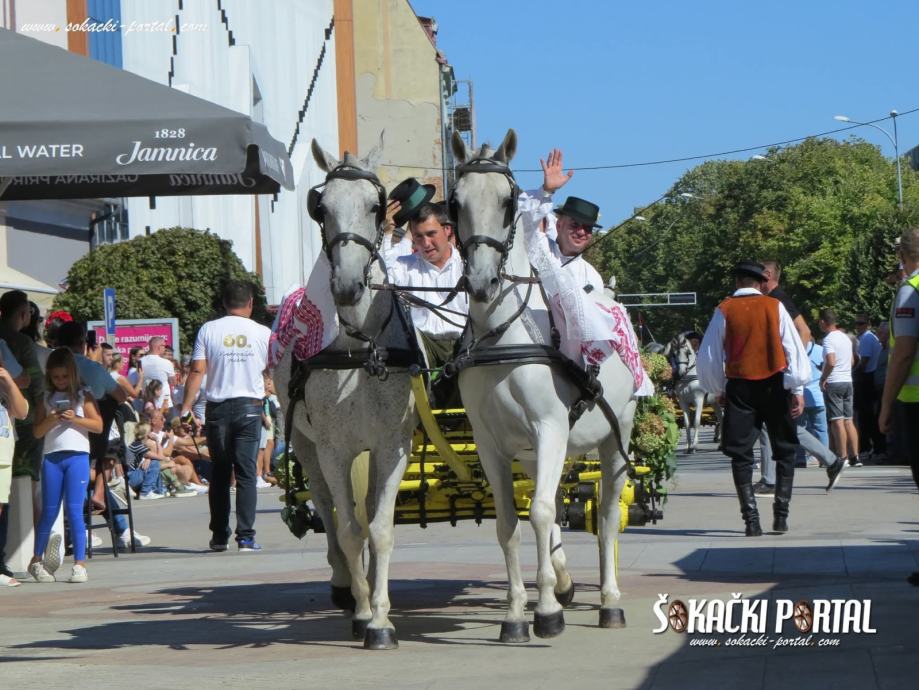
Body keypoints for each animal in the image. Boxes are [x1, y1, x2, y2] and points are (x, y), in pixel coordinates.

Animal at [273, 137, 418, 650]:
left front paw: (381, 614)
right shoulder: (334, 449)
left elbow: (379, 528)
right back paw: (344, 584)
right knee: (327, 508)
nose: (348, 286)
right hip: (305, 444)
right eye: (321, 208)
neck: (359, 348)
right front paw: (364, 612)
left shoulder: (392, 446)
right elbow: (350, 529)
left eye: (376, 206)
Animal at [449, 129, 637, 642]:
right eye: (455, 202)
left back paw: (609, 601)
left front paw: (548, 610)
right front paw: (517, 613)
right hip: (536, 454)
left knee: (606, 517)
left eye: (508, 201)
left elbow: (541, 513)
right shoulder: (490, 443)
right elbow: (510, 522)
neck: (503, 337)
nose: (481, 282)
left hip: (615, 440)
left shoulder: (551, 428)